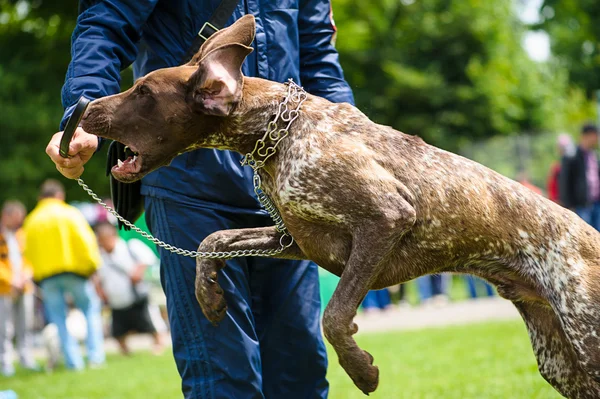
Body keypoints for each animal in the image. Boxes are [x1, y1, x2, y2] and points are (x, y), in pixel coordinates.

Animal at [82, 13, 600, 399]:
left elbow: (333, 317)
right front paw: (208, 295)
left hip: (586, 338)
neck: (277, 132)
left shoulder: (384, 219)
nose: (85, 109)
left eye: (144, 92)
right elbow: (214, 239)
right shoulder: (293, 239)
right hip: (561, 361)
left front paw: (361, 370)